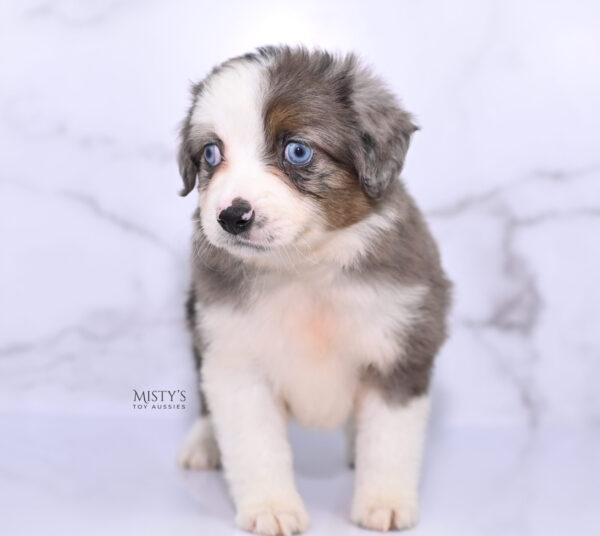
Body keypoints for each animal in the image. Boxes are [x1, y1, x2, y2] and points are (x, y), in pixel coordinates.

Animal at [176, 47, 448, 536]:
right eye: (210, 153)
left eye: (298, 151)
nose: (231, 216)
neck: (305, 266)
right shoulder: (235, 358)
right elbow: (255, 446)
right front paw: (270, 508)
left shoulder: (400, 349)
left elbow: (390, 442)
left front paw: (385, 502)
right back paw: (204, 443)